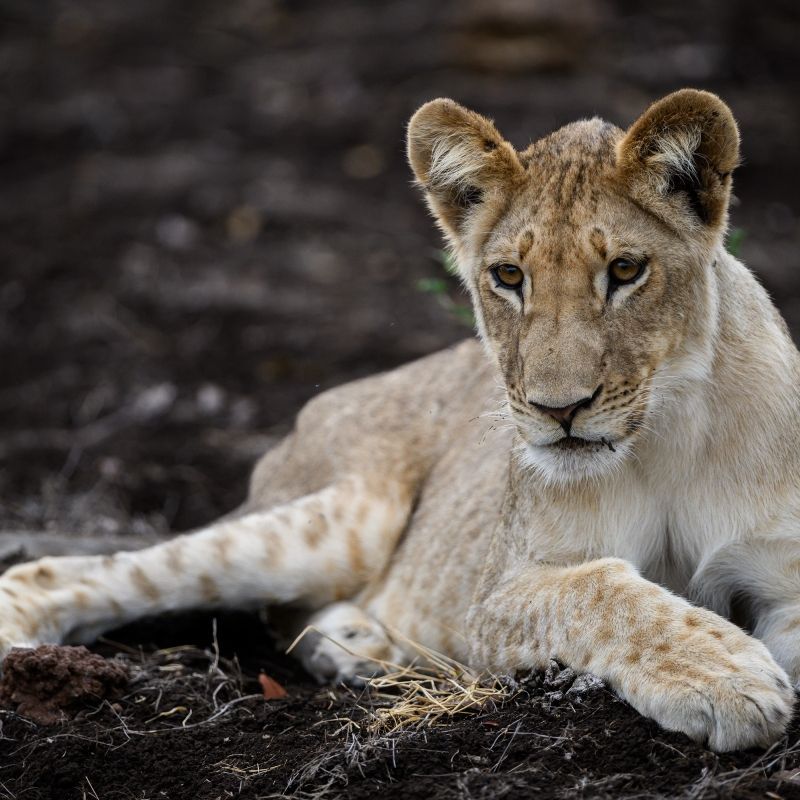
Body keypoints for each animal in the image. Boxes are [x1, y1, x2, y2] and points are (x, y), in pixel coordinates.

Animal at [0, 89, 798, 752]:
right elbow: (602, 594)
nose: (558, 409)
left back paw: (356, 644)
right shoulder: (496, 593)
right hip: (342, 519)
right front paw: (724, 676)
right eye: (509, 277)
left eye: (626, 271)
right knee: (96, 571)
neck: (668, 437)